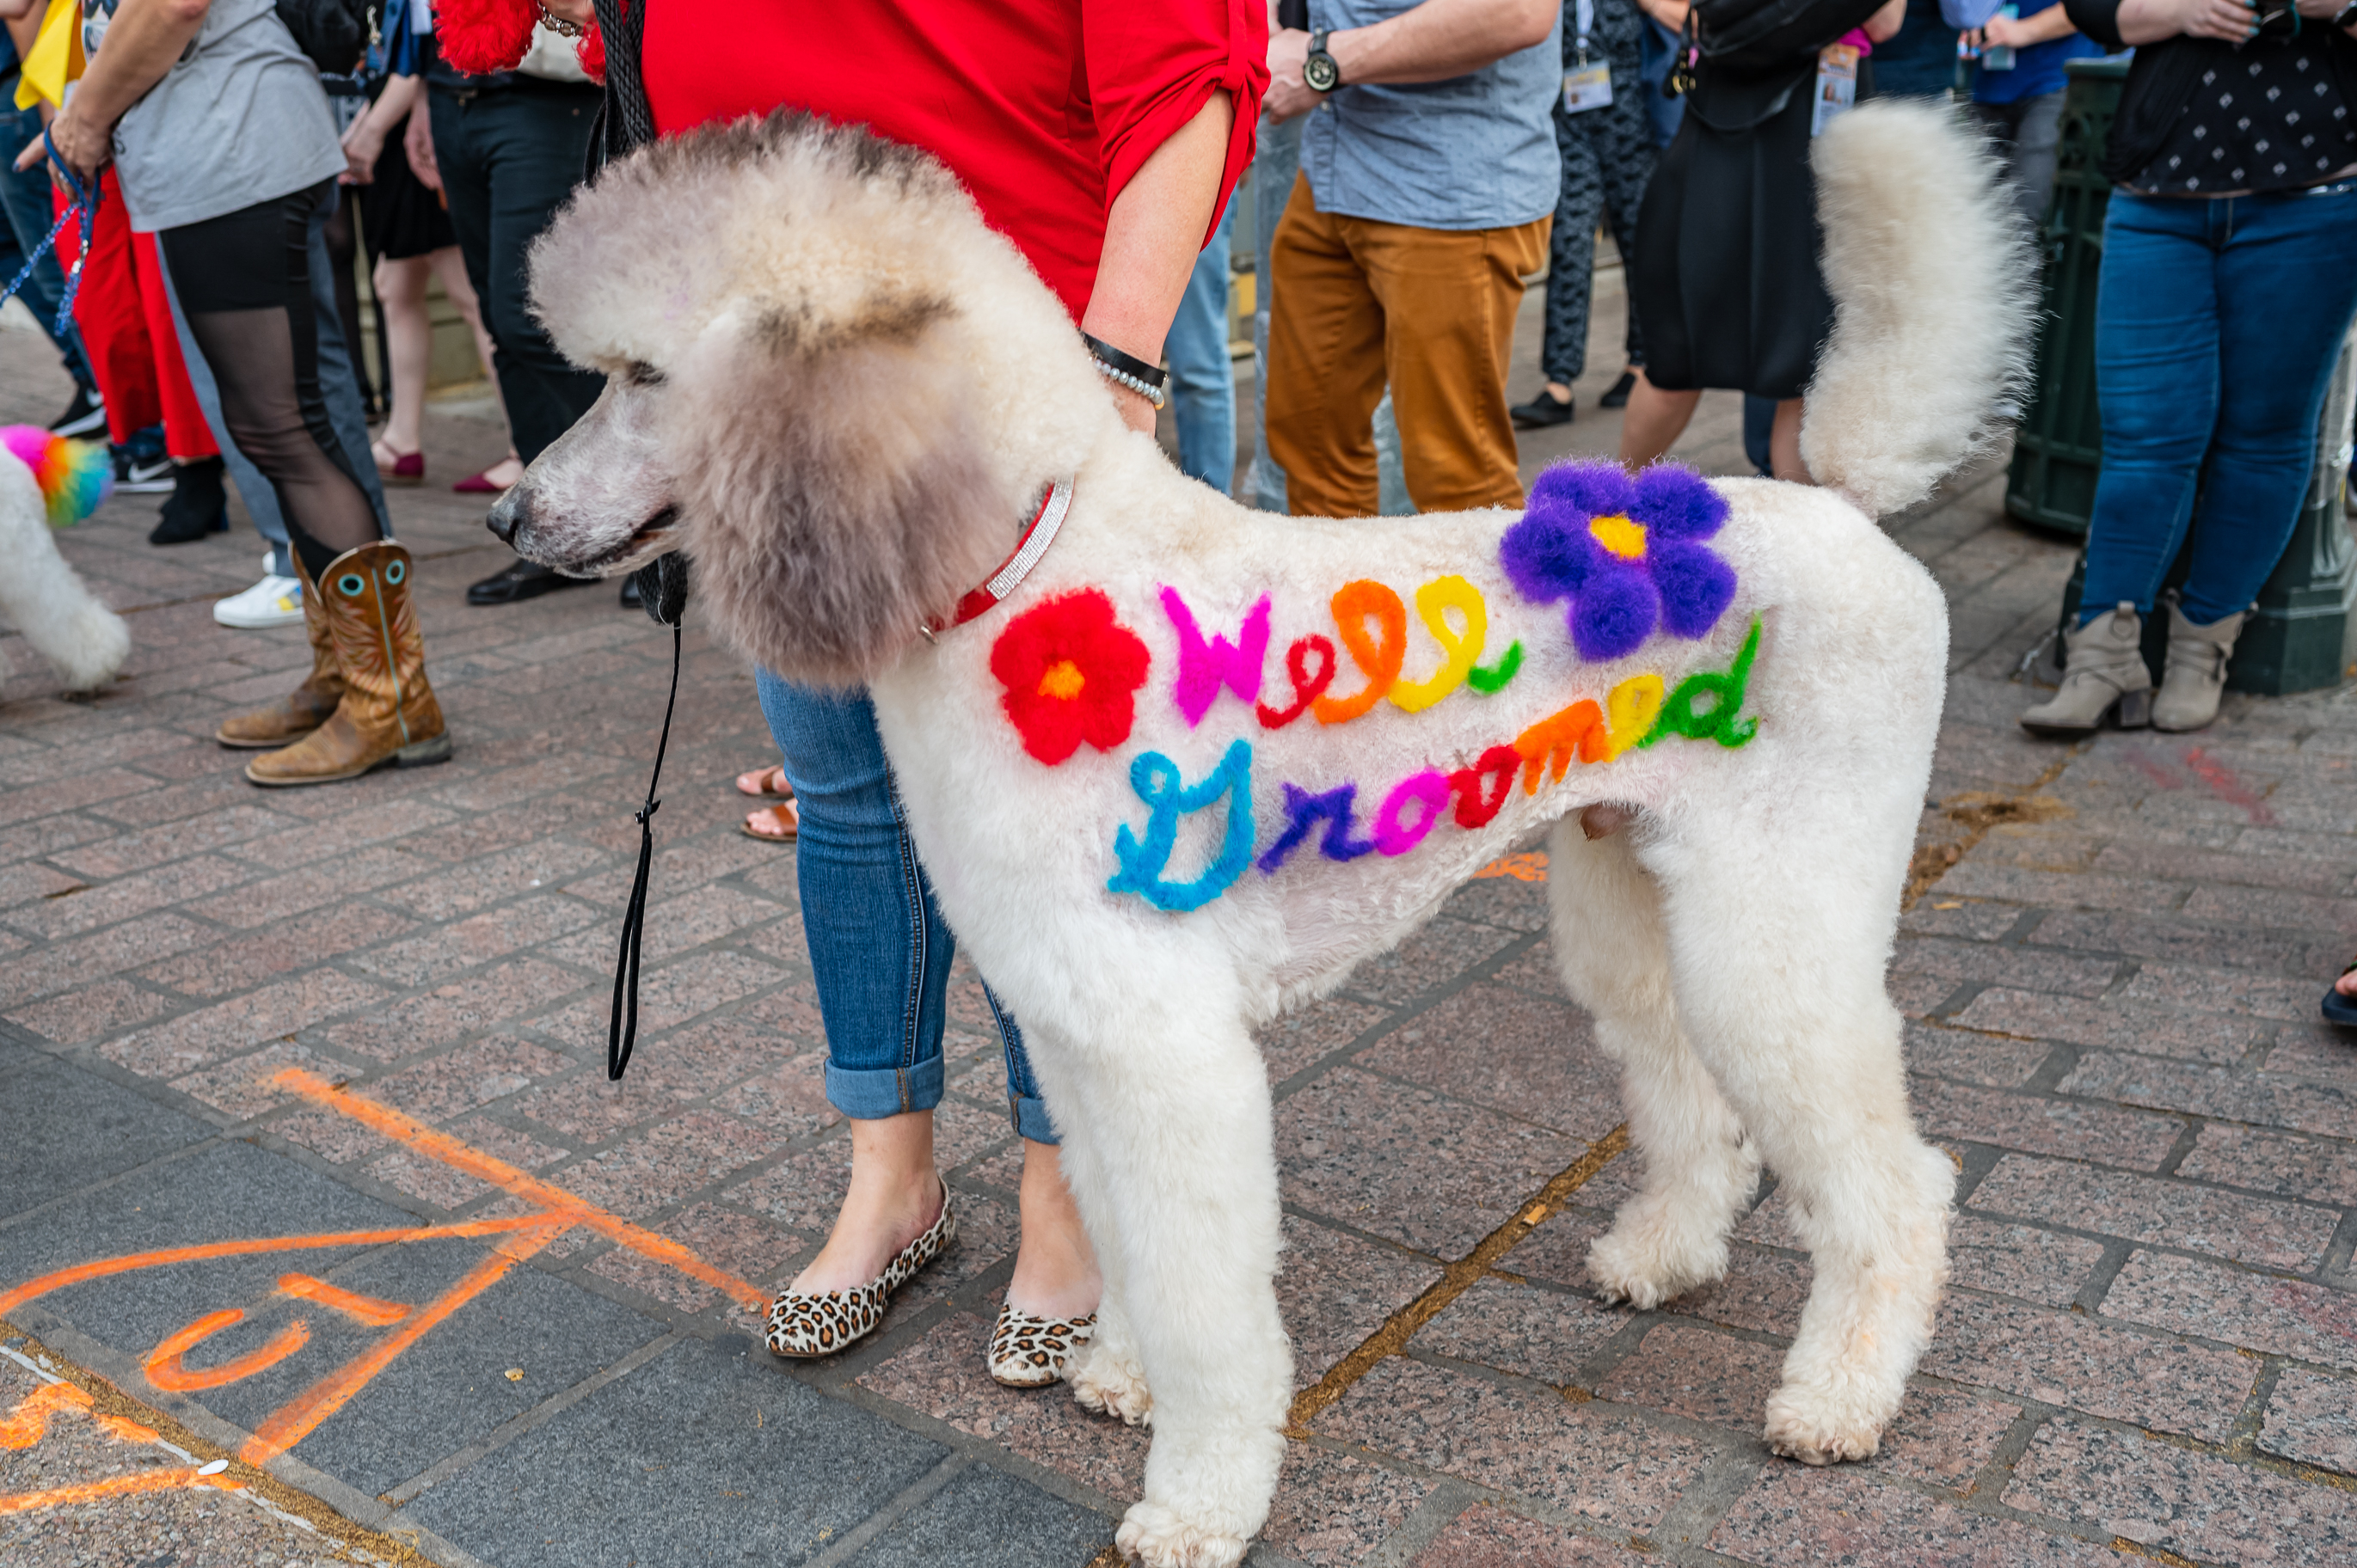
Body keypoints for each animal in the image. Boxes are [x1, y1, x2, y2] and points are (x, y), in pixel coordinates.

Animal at [506, 103, 2036, 1556]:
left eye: (644, 376)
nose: (512, 511)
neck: (1028, 571)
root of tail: (1839, 504)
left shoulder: (1163, 1047)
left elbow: (1205, 1300)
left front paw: (1200, 1500)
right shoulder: (1080, 1034)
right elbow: (1120, 1236)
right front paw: (1117, 1372)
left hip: (1778, 913)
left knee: (1901, 1185)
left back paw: (1842, 1395)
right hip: (1635, 880)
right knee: (1689, 1093)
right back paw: (1662, 1258)